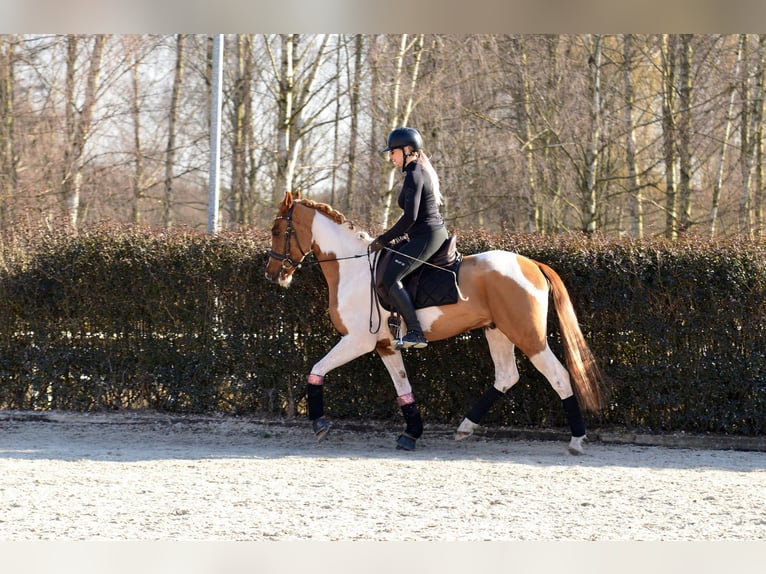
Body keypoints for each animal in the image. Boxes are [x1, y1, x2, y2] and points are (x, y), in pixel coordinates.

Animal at [265, 191, 605, 454]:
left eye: (277, 231)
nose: (272, 274)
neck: (354, 268)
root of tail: (531, 263)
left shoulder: (357, 341)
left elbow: (317, 370)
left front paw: (320, 423)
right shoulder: (386, 345)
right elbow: (404, 389)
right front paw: (411, 433)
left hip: (528, 335)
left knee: (559, 376)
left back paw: (577, 440)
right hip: (497, 331)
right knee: (507, 376)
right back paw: (466, 426)